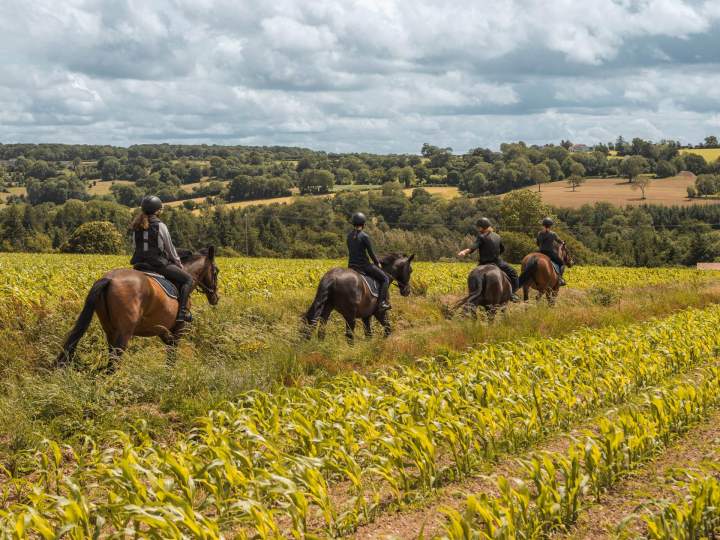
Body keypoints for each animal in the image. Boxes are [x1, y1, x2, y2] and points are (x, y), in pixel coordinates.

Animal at [56, 247, 219, 372]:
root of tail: (109, 279)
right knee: (114, 363)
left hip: (110, 331)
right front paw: (170, 374)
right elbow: (172, 352)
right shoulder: (179, 327)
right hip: (124, 332)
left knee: (112, 358)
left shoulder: (159, 326)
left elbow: (168, 342)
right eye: (216, 271)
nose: (215, 298)